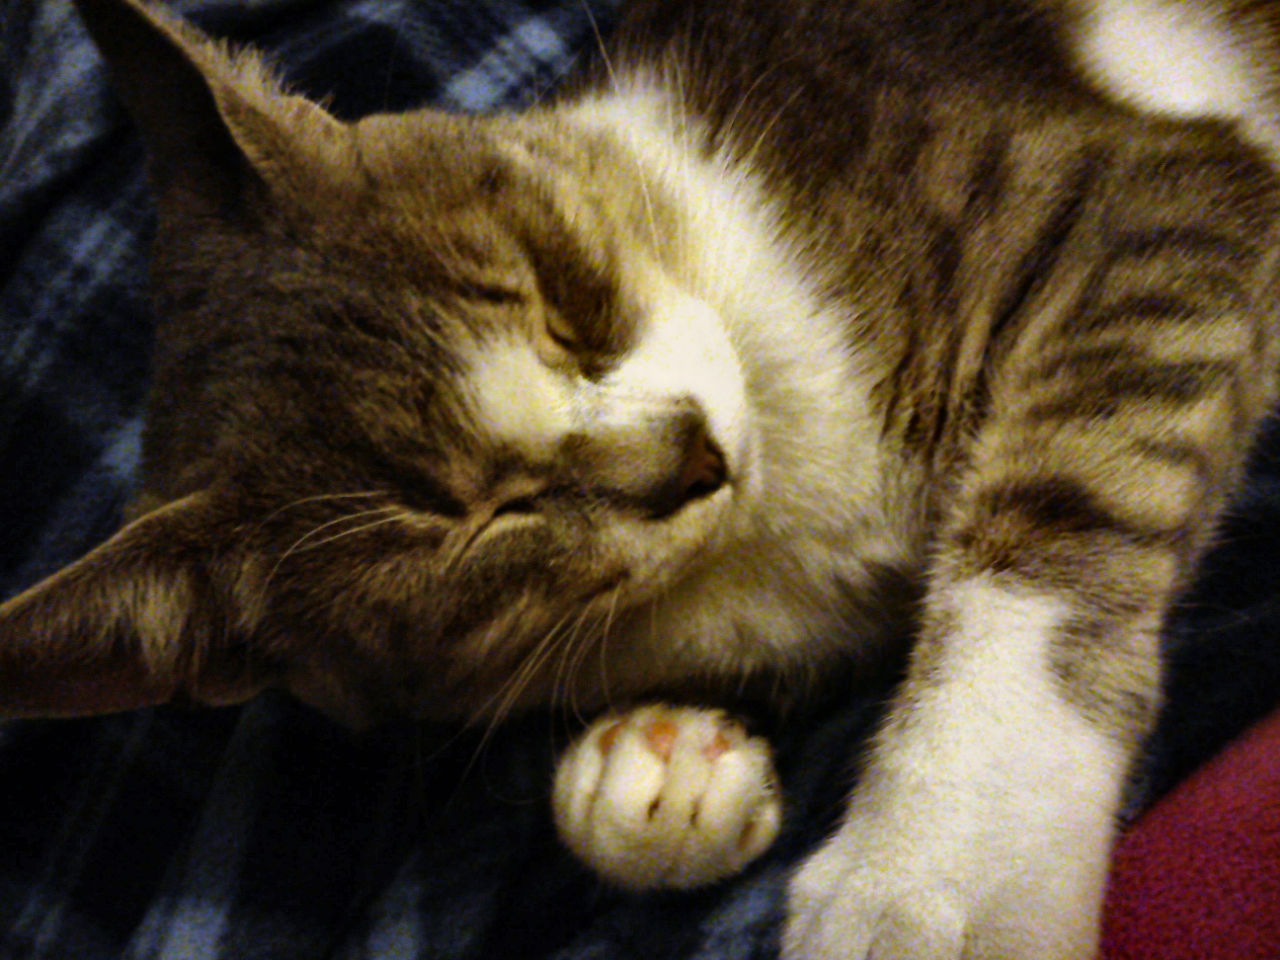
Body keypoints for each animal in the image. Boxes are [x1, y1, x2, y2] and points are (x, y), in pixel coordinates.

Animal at [2, 0, 1280, 957]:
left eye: (567, 297)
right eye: (484, 525)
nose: (689, 455)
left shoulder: (1146, 187)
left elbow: (1059, 508)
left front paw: (940, 872)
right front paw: (653, 775)